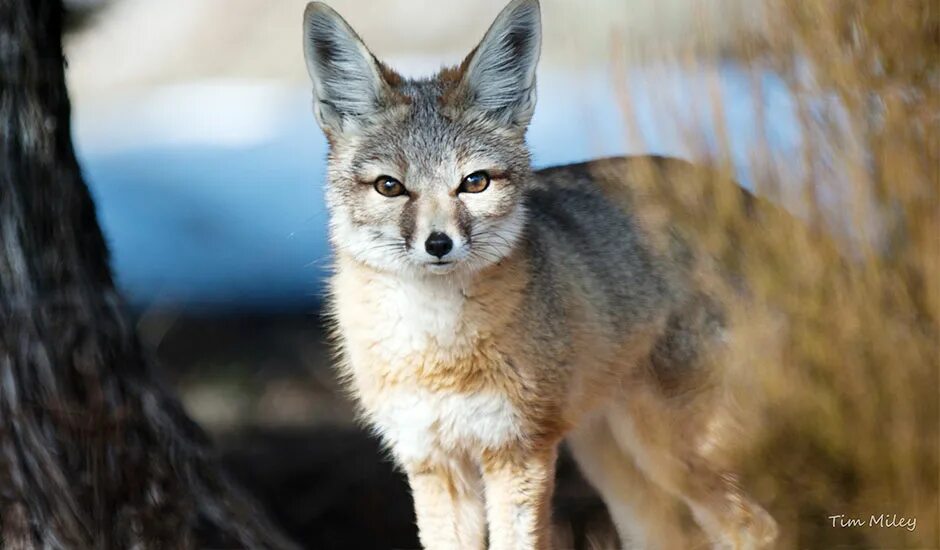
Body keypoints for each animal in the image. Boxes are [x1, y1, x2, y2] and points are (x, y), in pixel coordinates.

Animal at [302, 0, 780, 548]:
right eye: (389, 187)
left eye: (475, 183)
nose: (439, 244)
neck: (437, 349)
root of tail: (740, 198)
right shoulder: (432, 461)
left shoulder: (518, 451)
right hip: (615, 469)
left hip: (670, 453)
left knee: (760, 529)